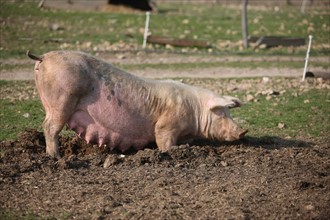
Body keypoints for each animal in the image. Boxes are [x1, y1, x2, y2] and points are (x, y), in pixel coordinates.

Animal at [27, 50, 246, 158]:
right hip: (62, 100)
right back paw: (56, 157)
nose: (243, 131)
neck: (195, 110)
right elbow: (163, 140)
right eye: (221, 112)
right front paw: (167, 154)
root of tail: (43, 57)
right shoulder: (167, 125)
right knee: (50, 127)